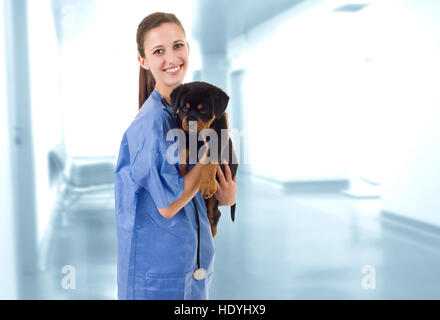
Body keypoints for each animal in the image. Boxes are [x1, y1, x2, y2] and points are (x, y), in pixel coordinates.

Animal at [170, 82, 237, 238]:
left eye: (203, 110)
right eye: (184, 108)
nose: (191, 122)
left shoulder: (219, 135)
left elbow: (210, 159)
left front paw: (207, 184)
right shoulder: (185, 133)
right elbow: (183, 155)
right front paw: (182, 174)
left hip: (214, 198)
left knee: (214, 214)